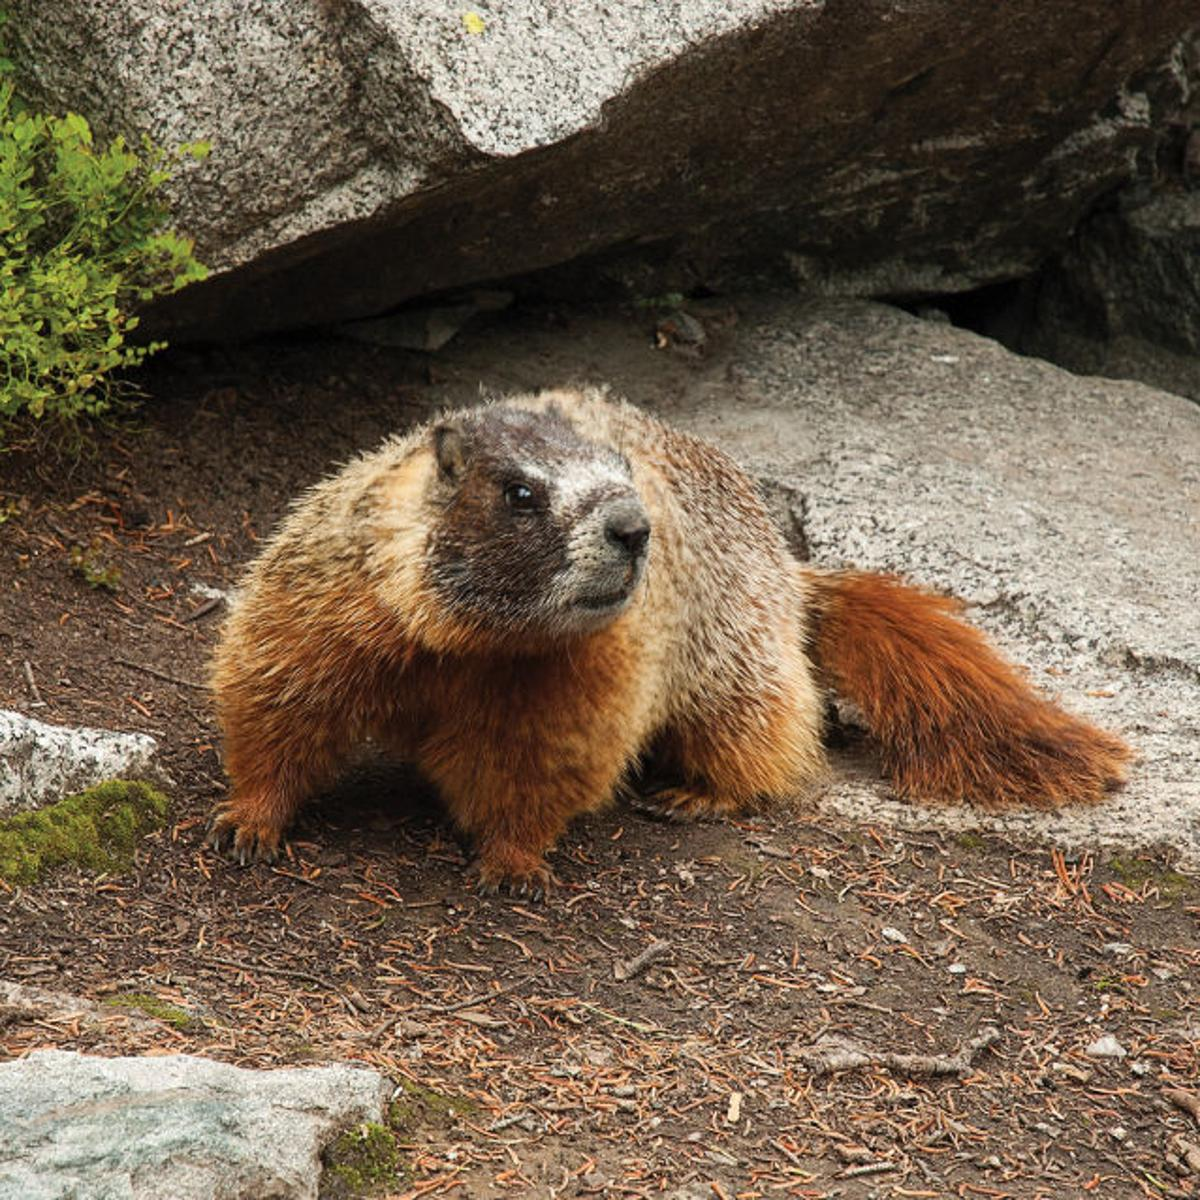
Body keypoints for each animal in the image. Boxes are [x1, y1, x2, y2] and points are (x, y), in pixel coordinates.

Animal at [208, 386, 1130, 895]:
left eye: (627, 475)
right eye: (518, 492)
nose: (634, 526)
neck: (473, 644)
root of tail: (790, 570)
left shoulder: (586, 670)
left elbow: (543, 752)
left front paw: (512, 859)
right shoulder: (342, 586)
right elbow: (279, 675)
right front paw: (247, 820)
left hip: (737, 652)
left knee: (760, 731)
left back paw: (702, 793)